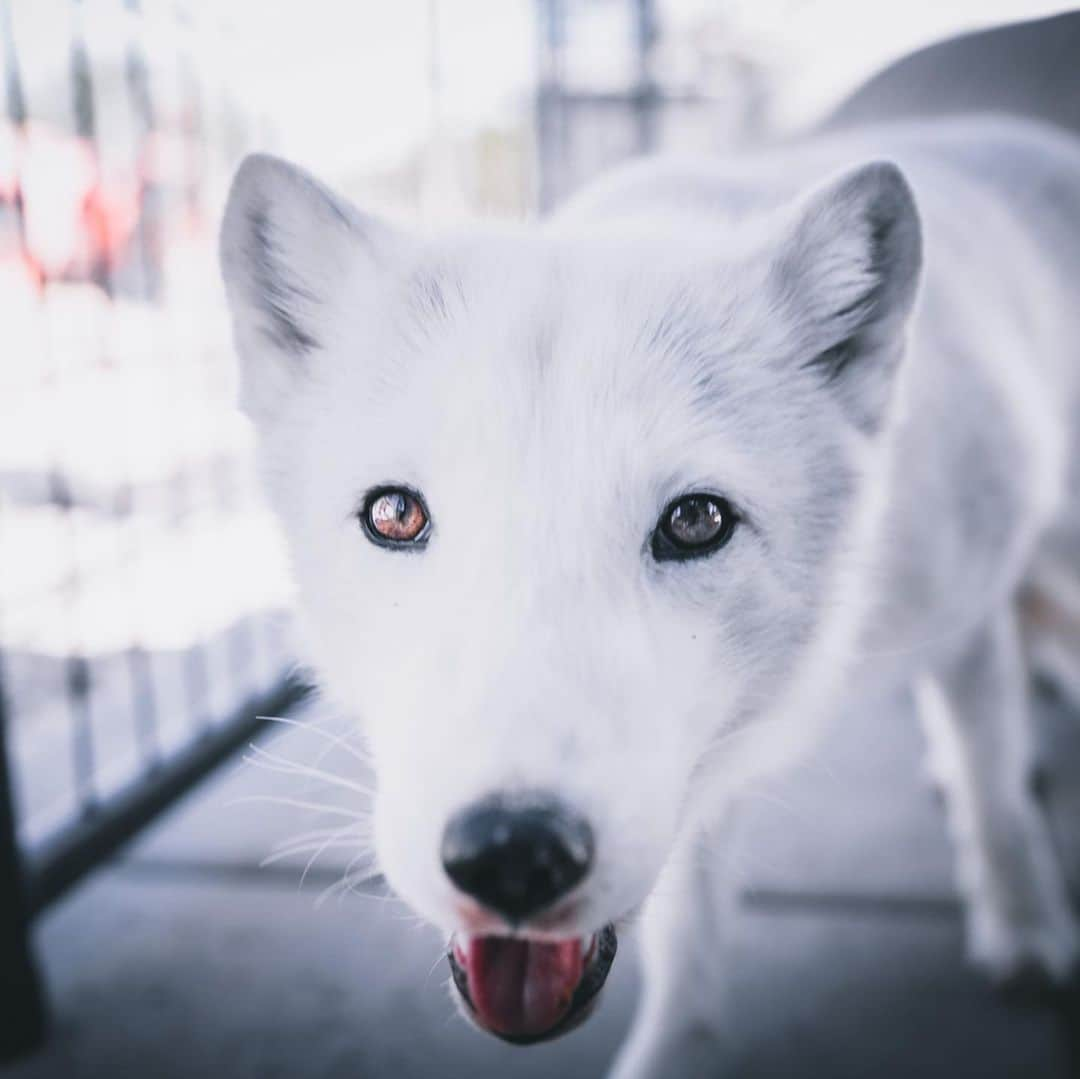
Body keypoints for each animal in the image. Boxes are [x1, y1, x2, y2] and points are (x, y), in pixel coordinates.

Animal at [219, 44, 1080, 1079]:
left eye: (697, 520)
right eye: (395, 514)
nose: (512, 851)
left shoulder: (967, 615)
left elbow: (997, 792)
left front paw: (1025, 925)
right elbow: (690, 940)